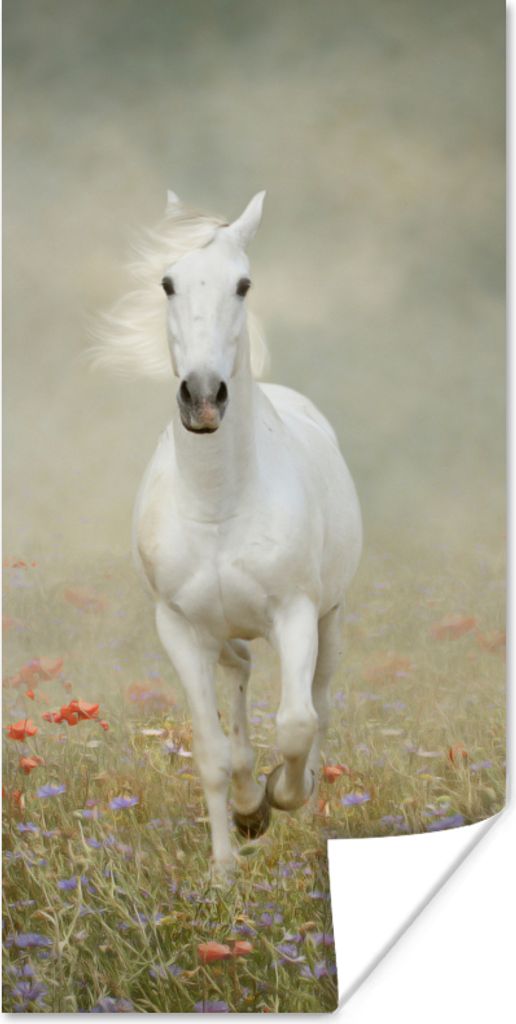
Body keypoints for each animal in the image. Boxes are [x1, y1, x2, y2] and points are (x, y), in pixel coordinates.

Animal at [93, 190, 362, 877]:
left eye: (243, 284)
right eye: (167, 282)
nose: (204, 396)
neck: (219, 506)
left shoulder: (295, 613)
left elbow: (296, 723)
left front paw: (280, 797)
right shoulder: (178, 629)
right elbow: (211, 752)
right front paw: (227, 858)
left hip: (329, 620)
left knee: (320, 703)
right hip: (218, 629)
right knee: (238, 673)